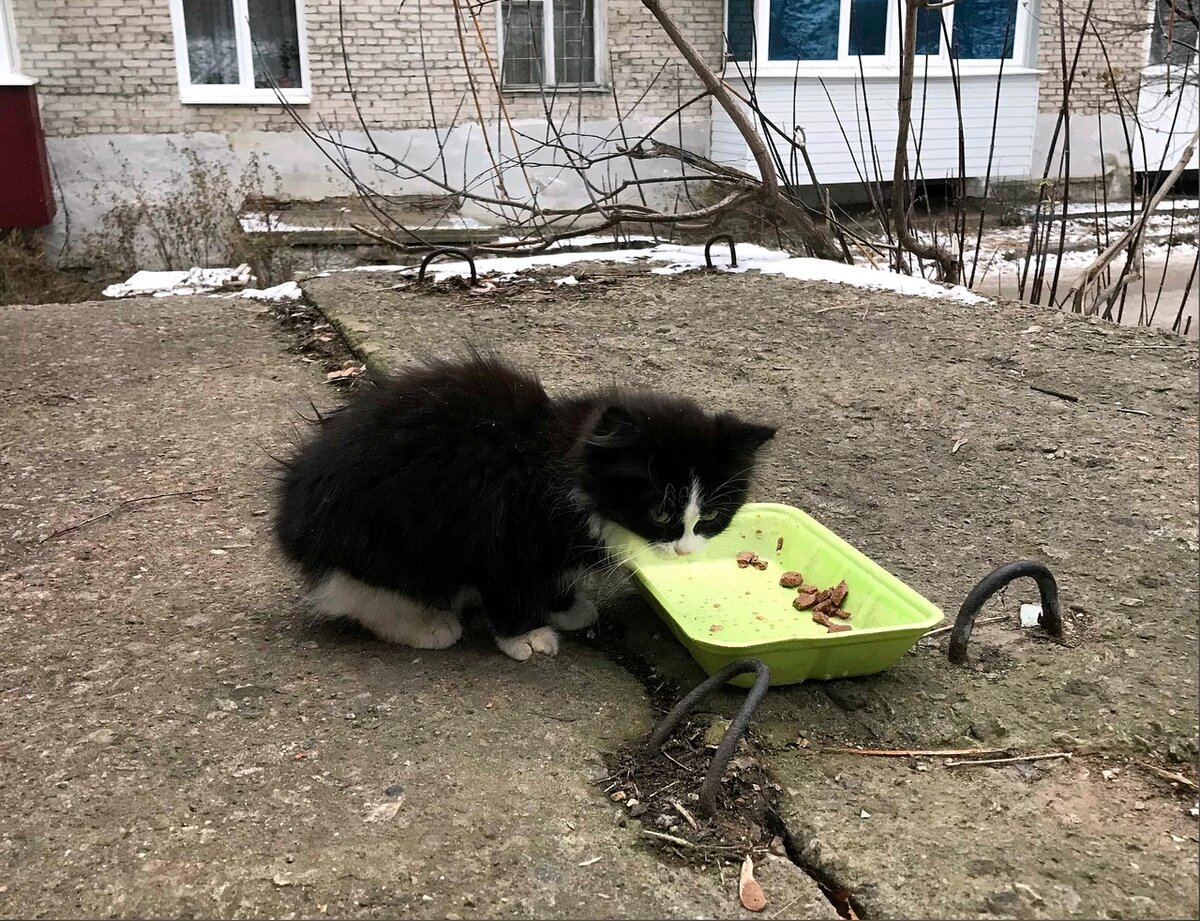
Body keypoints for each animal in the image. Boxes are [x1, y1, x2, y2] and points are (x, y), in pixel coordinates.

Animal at [274, 352, 777, 661]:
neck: (560, 460)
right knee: (364, 592)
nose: (685, 551)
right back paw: (426, 624)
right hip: (391, 535)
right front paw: (527, 637)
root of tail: (292, 521)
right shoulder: (501, 523)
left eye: (708, 517)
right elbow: (512, 583)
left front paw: (564, 607)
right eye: (659, 514)